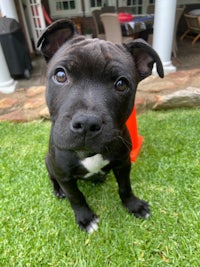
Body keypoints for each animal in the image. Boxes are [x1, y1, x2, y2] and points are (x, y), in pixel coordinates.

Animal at [38, 18, 164, 233]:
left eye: (121, 84)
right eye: (60, 75)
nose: (87, 123)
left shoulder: (123, 163)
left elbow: (125, 186)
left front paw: (133, 205)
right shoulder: (64, 175)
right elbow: (76, 197)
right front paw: (86, 218)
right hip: (49, 163)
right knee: (53, 180)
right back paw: (59, 191)